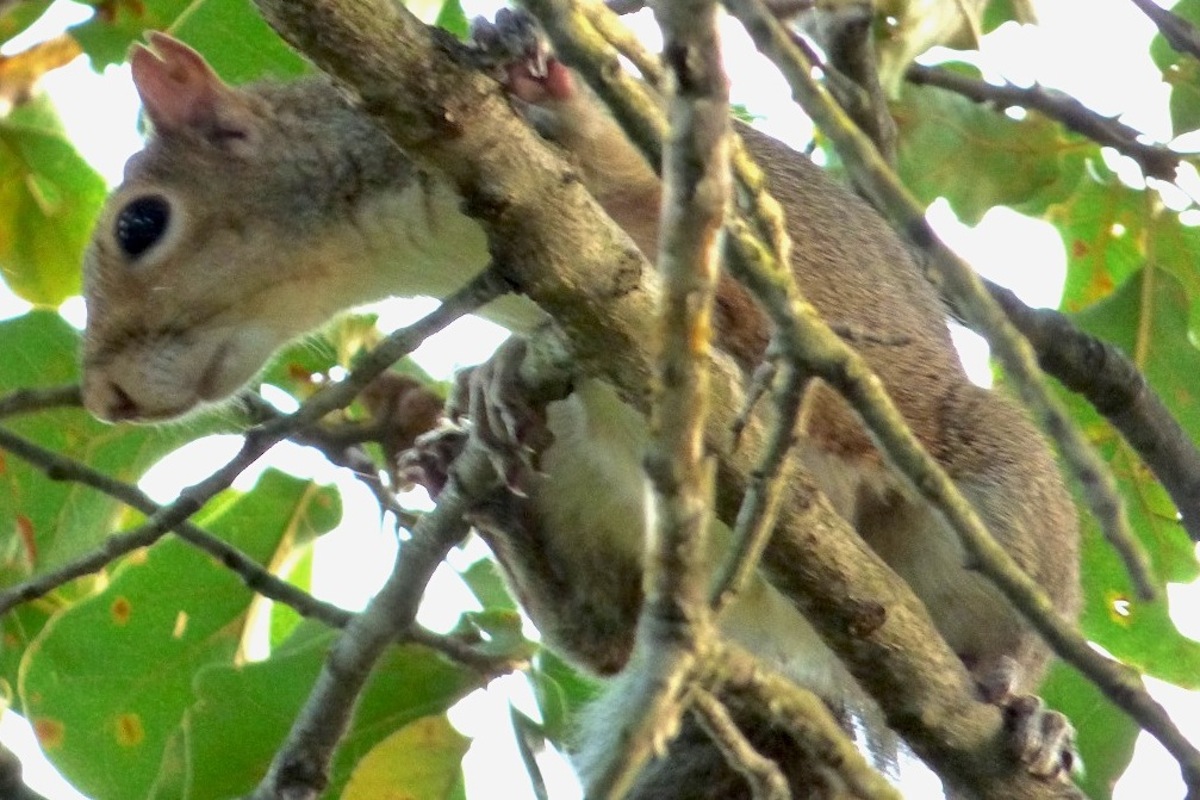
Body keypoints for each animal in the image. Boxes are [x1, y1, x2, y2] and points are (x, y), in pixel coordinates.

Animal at [82, 28, 1080, 796]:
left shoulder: (668, 191)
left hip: (989, 487)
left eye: (140, 224)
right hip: (591, 486)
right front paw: (486, 377)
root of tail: (806, 651)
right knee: (602, 628)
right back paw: (486, 494)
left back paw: (1025, 709)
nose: (102, 395)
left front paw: (543, 78)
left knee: (1003, 625)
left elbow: (642, 181)